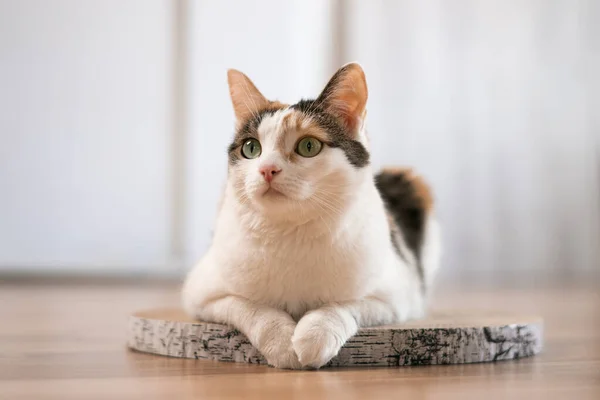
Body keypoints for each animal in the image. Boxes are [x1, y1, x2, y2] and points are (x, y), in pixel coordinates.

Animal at [180, 62, 438, 368]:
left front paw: (315, 336)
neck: (290, 232)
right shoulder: (203, 293)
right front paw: (281, 342)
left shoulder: (398, 296)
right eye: (251, 148)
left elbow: (343, 304)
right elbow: (250, 306)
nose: (266, 169)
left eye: (308, 146)